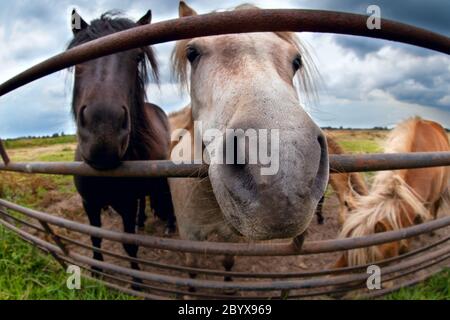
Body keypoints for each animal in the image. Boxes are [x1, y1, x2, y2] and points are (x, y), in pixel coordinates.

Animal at [69, 10, 177, 284]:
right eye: (78, 56)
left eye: (137, 56)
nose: (103, 133)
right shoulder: (89, 203)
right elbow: (95, 237)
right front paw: (96, 270)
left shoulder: (125, 206)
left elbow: (130, 245)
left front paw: (136, 282)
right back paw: (142, 221)